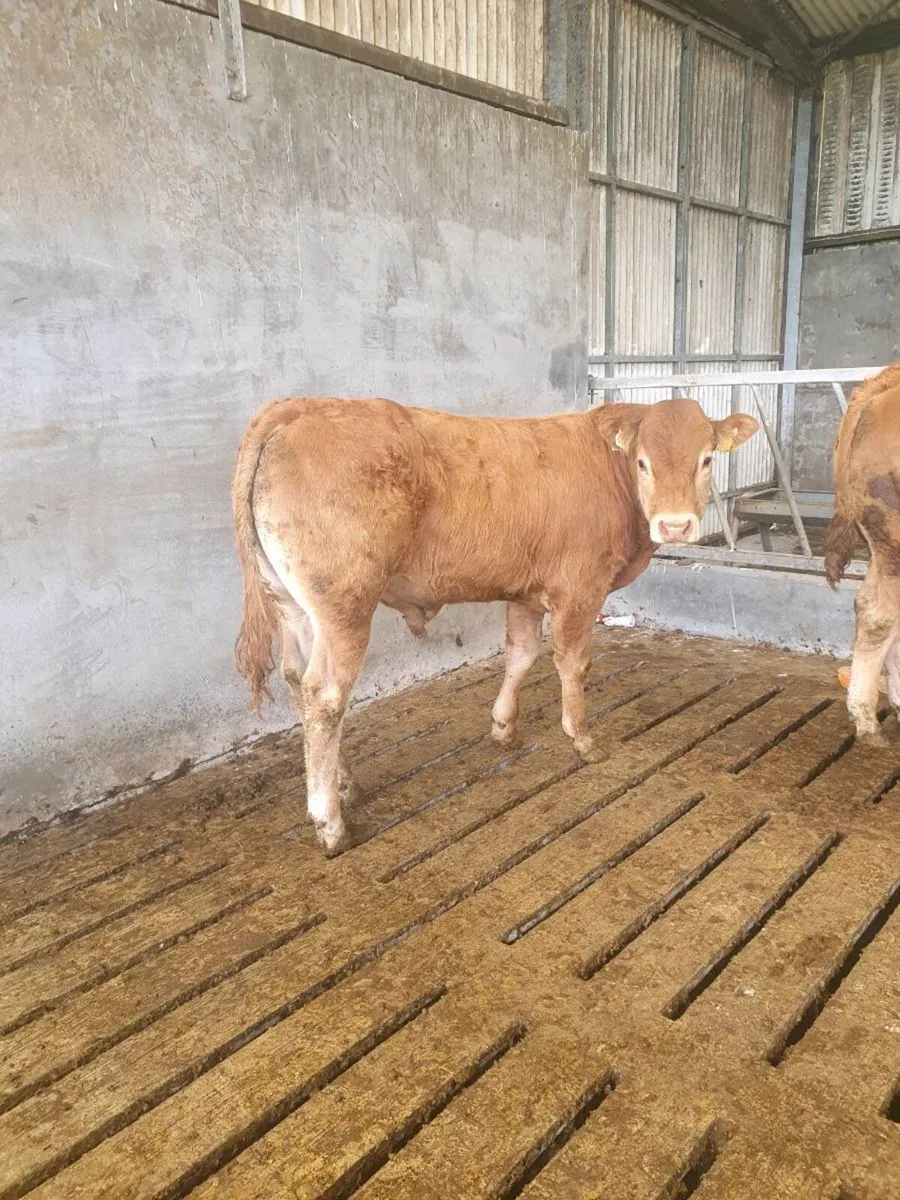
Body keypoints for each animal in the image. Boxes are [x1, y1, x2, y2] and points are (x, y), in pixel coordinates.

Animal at [232, 395, 759, 851]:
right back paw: (330, 821)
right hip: (344, 606)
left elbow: (521, 655)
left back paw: (344, 782)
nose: (675, 525)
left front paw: (503, 726)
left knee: (298, 680)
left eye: (706, 459)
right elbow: (572, 663)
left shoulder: (526, 591)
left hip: (295, 607)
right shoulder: (579, 587)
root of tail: (304, 405)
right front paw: (582, 738)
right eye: (644, 462)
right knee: (326, 696)